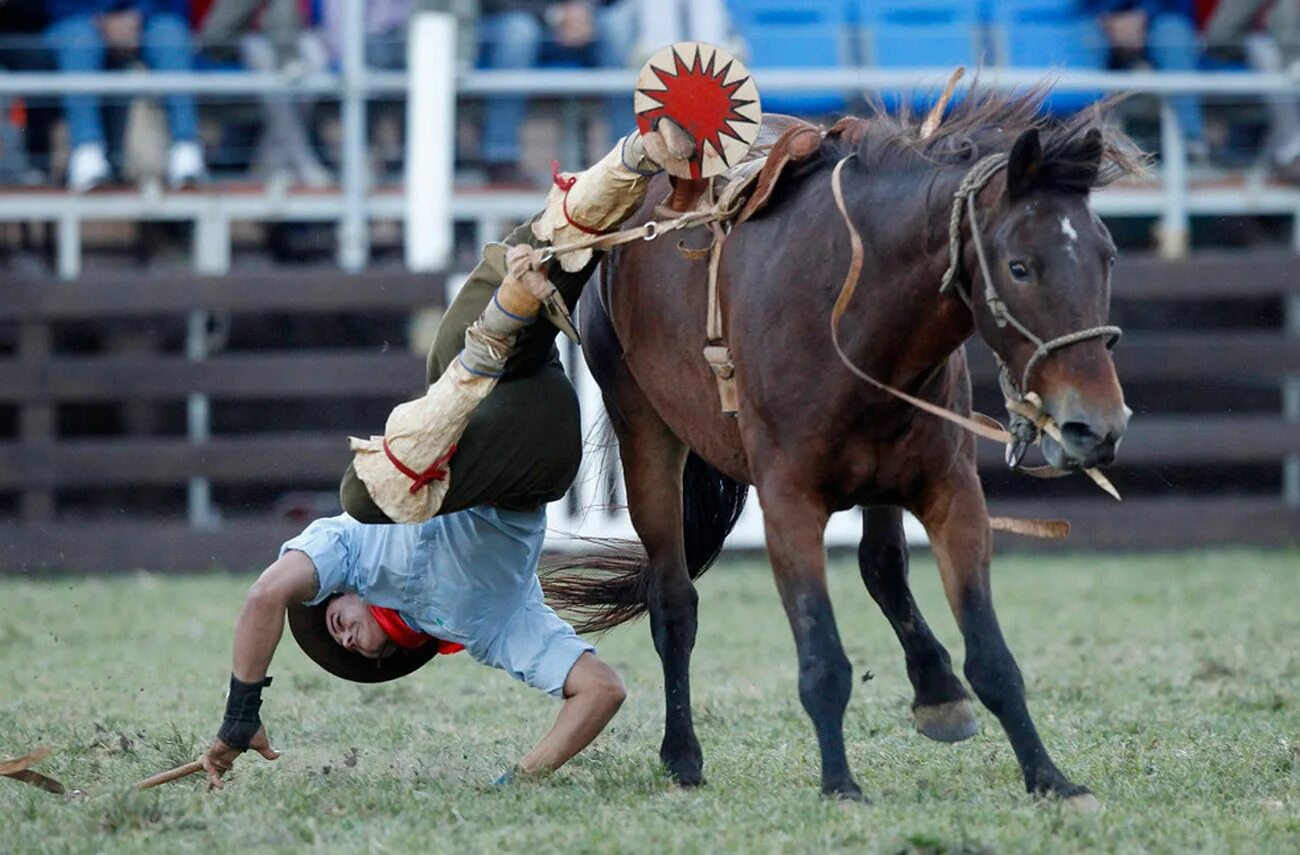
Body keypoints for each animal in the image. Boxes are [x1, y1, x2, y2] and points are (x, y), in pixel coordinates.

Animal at [543, 88, 1144, 800]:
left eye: (1108, 256)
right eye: (1020, 266)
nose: (1096, 425)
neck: (849, 306)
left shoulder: (952, 492)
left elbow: (992, 656)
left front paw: (1049, 776)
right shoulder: (788, 503)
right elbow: (822, 657)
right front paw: (839, 784)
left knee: (882, 565)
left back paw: (937, 690)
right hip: (645, 430)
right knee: (673, 602)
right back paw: (682, 754)